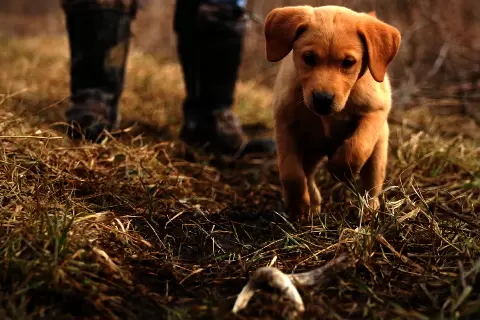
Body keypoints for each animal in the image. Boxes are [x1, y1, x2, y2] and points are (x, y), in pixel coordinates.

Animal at [264, 5, 404, 220]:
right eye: (309, 58)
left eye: (348, 62)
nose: (322, 99)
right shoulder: (285, 124)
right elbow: (291, 173)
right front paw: (298, 207)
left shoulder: (375, 112)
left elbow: (357, 147)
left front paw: (341, 170)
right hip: (310, 148)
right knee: (307, 173)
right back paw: (312, 202)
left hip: (378, 151)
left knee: (371, 184)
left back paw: (368, 210)